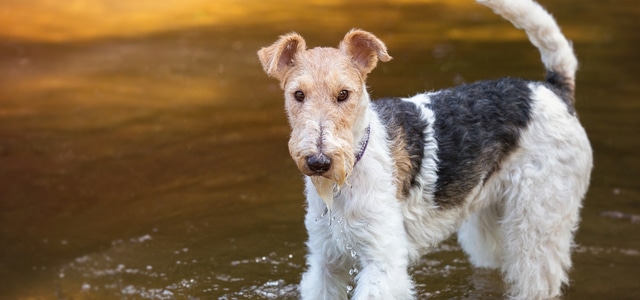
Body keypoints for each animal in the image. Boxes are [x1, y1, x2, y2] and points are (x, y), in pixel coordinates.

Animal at [258, 0, 592, 298]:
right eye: (298, 94)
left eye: (344, 94)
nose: (319, 161)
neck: (352, 168)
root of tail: (552, 90)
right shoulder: (326, 262)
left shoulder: (383, 261)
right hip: (489, 225)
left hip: (538, 223)